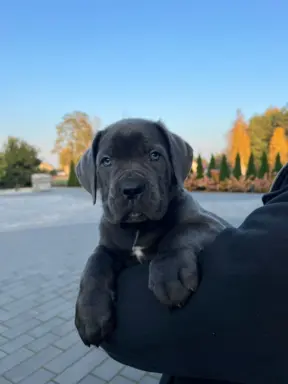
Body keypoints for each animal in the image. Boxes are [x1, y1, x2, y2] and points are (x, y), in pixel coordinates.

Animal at [73, 118, 230, 348]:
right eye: (106, 161)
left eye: (155, 155)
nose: (131, 188)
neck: (138, 228)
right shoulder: (109, 246)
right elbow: (95, 262)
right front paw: (90, 313)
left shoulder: (210, 222)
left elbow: (180, 232)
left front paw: (170, 273)